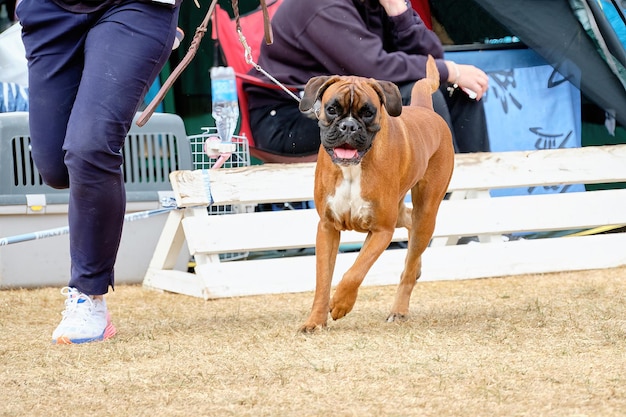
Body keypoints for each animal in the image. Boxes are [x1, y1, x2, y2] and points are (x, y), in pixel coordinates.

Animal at [298, 56, 454, 332]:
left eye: (368, 112)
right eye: (332, 109)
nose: (349, 126)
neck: (353, 168)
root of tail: (426, 110)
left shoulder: (381, 230)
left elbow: (355, 271)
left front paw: (340, 304)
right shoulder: (327, 228)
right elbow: (323, 280)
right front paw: (315, 321)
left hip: (426, 211)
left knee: (409, 264)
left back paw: (399, 309)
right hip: (402, 211)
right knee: (410, 223)